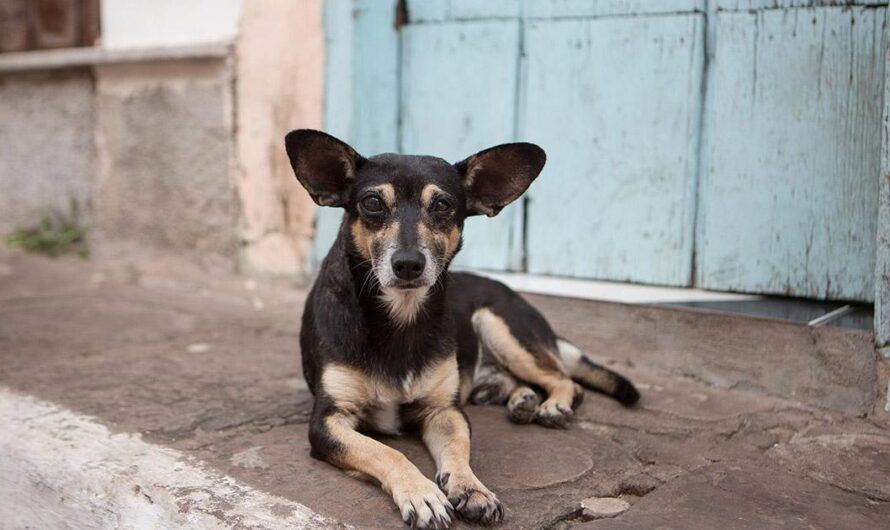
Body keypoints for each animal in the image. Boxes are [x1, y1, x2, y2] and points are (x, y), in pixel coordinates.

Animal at [284, 129, 640, 528]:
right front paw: (423, 494)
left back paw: (553, 404)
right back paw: (523, 401)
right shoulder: (328, 422)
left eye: (442, 205)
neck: (401, 317)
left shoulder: (445, 411)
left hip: (499, 325)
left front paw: (472, 488)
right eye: (372, 202)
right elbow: (385, 452)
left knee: (565, 379)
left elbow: (459, 448)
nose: (408, 264)